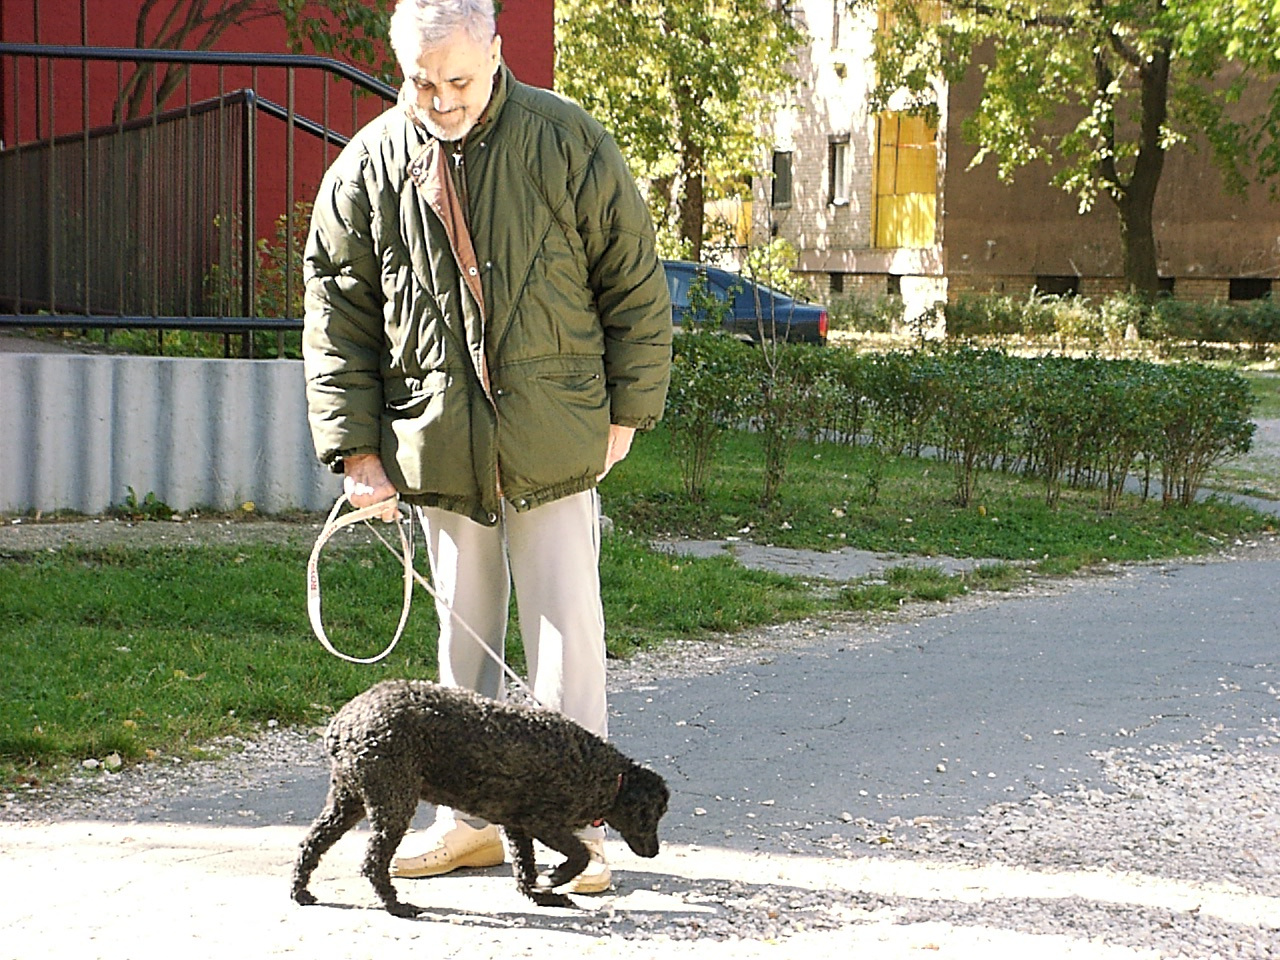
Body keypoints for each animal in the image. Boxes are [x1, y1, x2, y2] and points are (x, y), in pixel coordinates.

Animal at [290, 675, 670, 916]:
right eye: (652, 815)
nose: (654, 852)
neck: (606, 774)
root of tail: (343, 724)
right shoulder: (544, 823)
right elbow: (579, 854)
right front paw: (556, 879)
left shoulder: (517, 826)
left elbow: (525, 867)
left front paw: (541, 896)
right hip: (392, 802)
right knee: (372, 863)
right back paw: (396, 906)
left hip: (349, 800)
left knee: (312, 844)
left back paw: (301, 892)